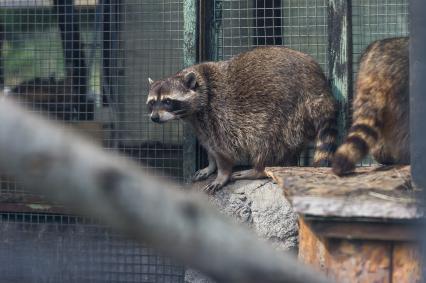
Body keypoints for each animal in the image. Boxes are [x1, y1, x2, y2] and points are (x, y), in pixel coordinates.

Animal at [148, 46, 338, 194]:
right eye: (151, 103)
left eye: (167, 101)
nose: (154, 118)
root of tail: (319, 86)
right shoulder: (199, 123)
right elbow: (209, 146)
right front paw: (210, 165)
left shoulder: (217, 115)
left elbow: (223, 150)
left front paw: (221, 174)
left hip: (288, 113)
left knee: (266, 141)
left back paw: (259, 169)